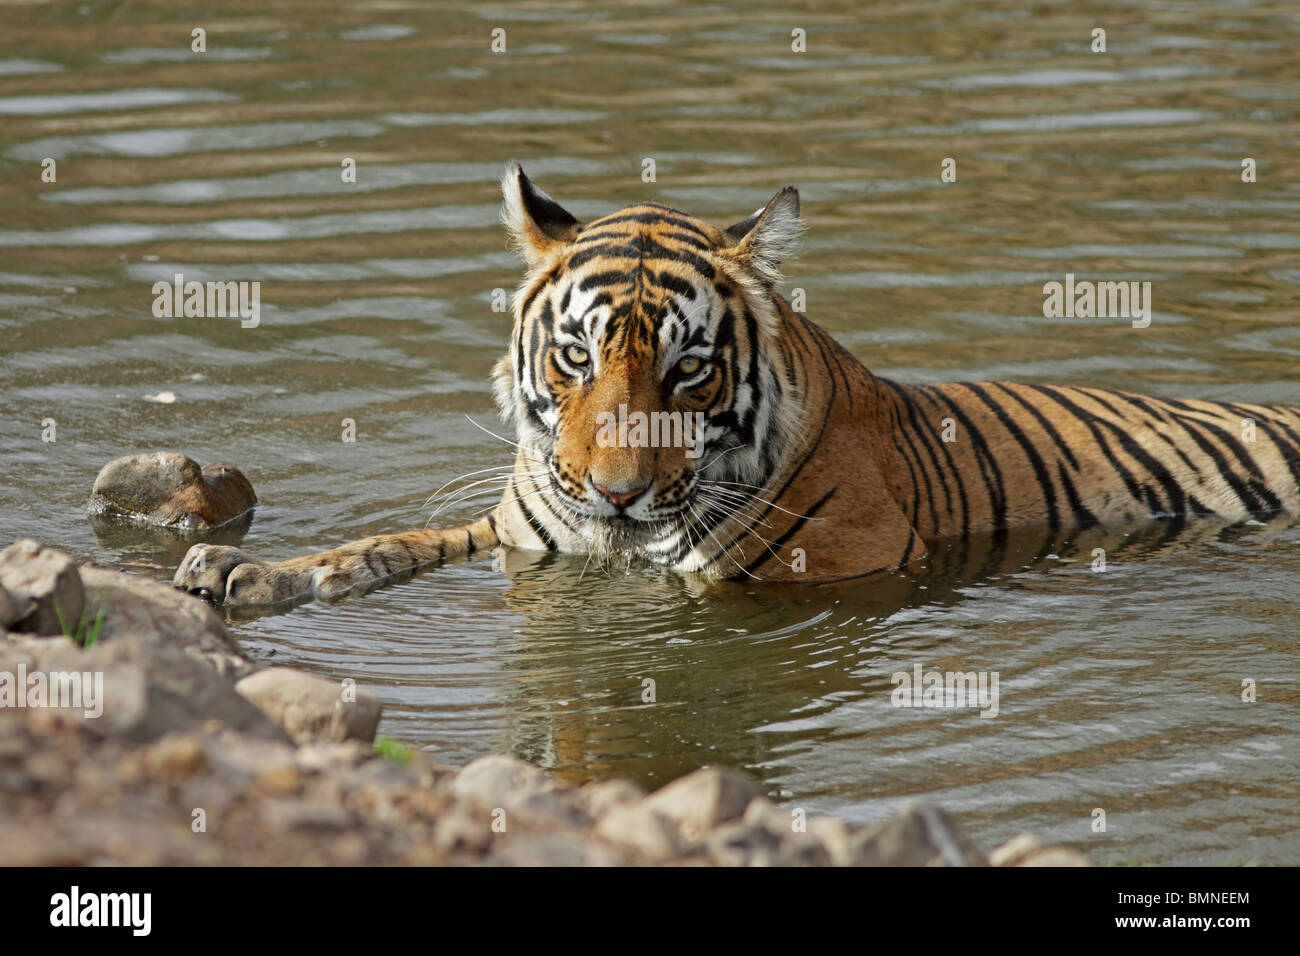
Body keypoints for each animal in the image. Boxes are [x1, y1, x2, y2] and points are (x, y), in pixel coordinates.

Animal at [172, 162, 1300, 613]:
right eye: (576, 358)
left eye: (687, 367)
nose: (619, 493)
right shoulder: (519, 533)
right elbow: (388, 545)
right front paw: (243, 570)